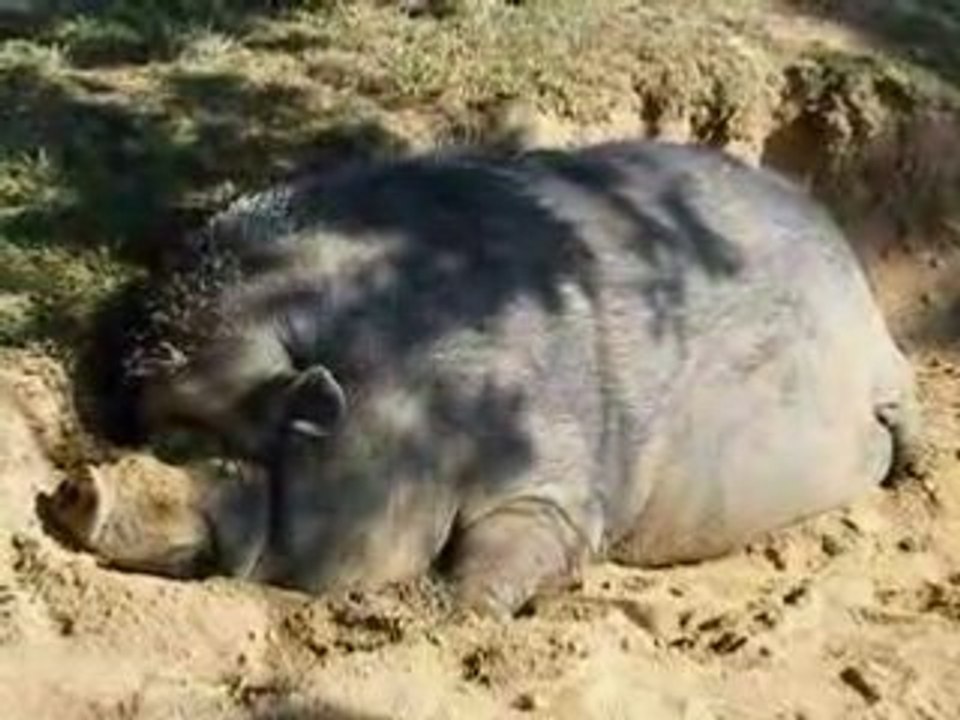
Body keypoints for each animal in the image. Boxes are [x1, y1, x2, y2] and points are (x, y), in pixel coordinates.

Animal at [49, 139, 921, 617]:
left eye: (198, 444)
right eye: (146, 426)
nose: (80, 482)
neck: (413, 401)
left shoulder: (556, 483)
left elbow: (497, 565)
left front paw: (453, 614)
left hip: (886, 372)